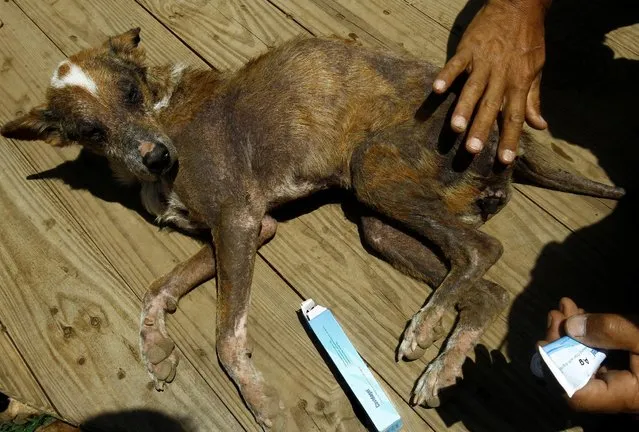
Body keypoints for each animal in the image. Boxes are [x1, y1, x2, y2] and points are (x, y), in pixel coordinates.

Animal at [2, 28, 624, 426]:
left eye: (131, 94)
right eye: (92, 133)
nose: (157, 158)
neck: (165, 111)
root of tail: (500, 127)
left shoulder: (241, 222)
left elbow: (227, 339)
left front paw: (259, 400)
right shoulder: (248, 229)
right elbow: (158, 289)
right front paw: (153, 345)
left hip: (373, 168)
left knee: (481, 249)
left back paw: (424, 329)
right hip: (380, 219)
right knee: (483, 288)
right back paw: (443, 367)